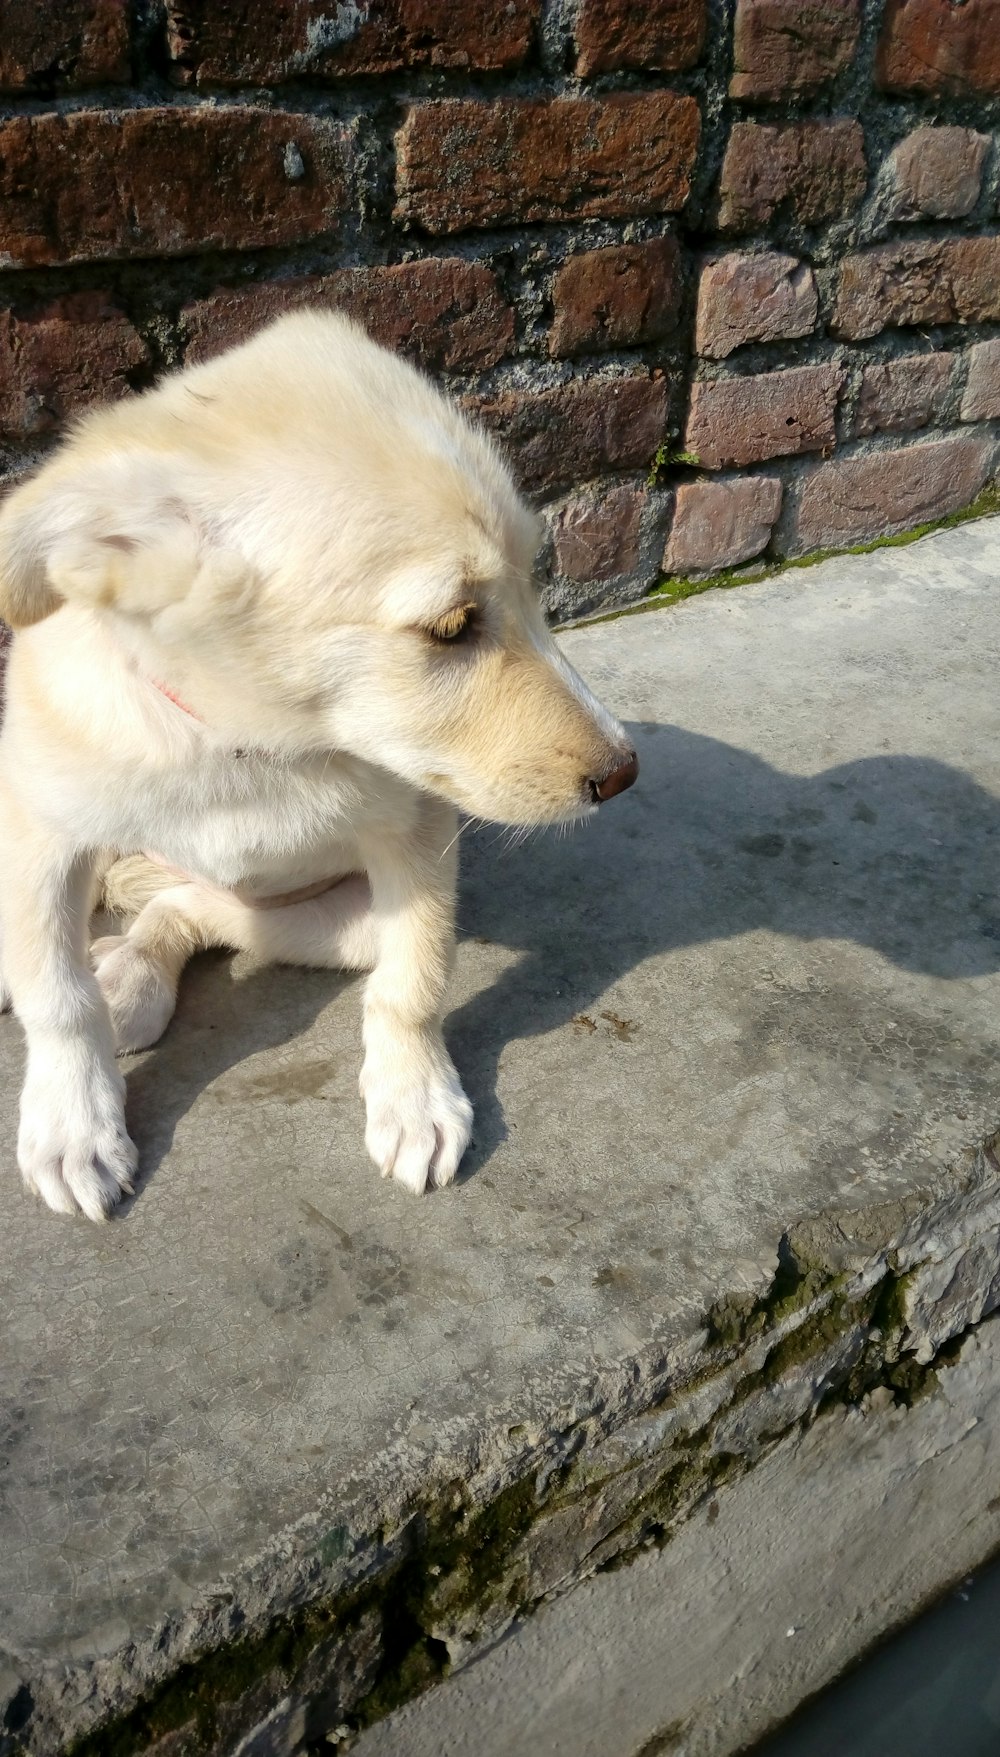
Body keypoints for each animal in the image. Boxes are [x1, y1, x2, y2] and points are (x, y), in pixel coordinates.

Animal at [0, 312, 639, 1222]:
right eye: (450, 627)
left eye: (534, 581)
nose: (624, 771)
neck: (247, 744)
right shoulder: (41, 833)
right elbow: (54, 991)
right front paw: (71, 1125)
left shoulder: (416, 839)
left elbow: (413, 982)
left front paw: (413, 1094)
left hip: (333, 918)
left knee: (200, 911)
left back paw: (133, 974)